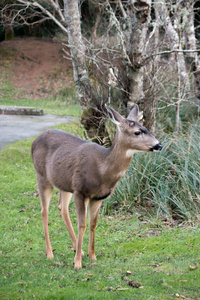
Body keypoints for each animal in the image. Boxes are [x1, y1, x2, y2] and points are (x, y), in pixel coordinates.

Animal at [31, 105, 162, 270]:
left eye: (146, 128)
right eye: (137, 132)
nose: (159, 145)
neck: (102, 170)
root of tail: (33, 141)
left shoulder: (98, 197)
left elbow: (93, 224)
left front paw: (92, 255)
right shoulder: (80, 190)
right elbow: (82, 224)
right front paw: (77, 263)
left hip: (64, 183)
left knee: (62, 207)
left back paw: (77, 249)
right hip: (42, 176)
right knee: (44, 211)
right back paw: (50, 253)